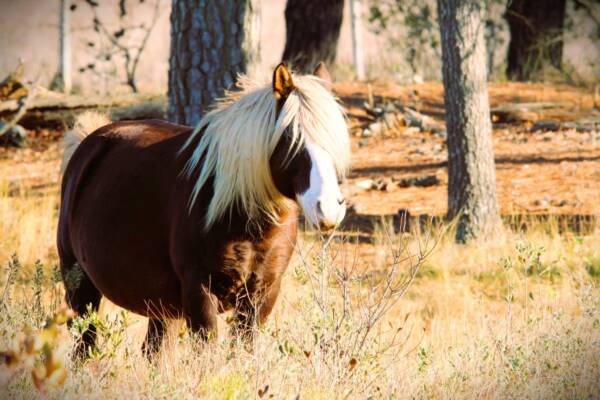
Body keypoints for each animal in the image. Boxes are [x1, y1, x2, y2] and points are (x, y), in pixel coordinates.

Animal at [58, 63, 350, 356]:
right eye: (292, 138)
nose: (328, 208)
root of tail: (88, 143)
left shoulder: (263, 292)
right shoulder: (199, 292)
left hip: (162, 307)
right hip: (80, 287)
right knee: (84, 345)